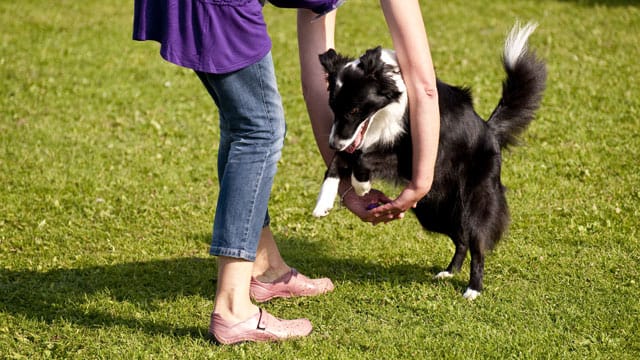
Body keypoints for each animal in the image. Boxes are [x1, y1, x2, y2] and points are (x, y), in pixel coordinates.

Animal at [312, 21, 548, 298]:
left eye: (355, 110)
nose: (332, 143)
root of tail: (490, 130)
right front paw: (323, 202)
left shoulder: (412, 157)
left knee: (477, 244)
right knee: (461, 238)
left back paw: (473, 289)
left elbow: (363, 158)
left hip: (476, 201)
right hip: (433, 209)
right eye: (333, 108)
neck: (390, 108)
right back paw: (449, 271)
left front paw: (362, 185)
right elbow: (340, 160)